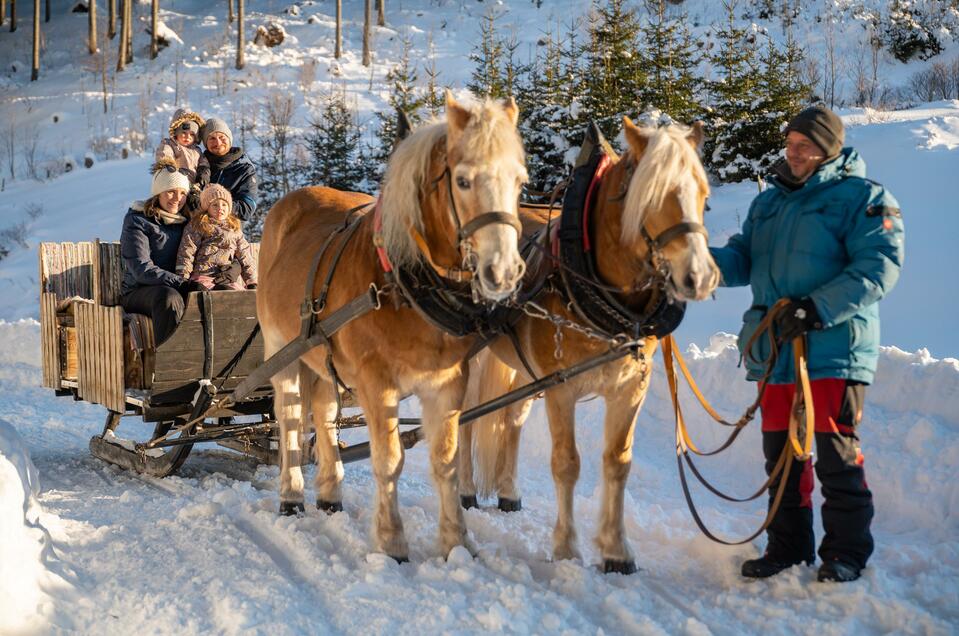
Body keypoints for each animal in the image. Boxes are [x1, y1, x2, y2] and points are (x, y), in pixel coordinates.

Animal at [258, 94, 528, 560]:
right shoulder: (376, 382)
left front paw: (456, 543)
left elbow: (445, 461)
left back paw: (329, 495)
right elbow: (389, 459)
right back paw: (291, 497)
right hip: (281, 352)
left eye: (519, 182)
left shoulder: (448, 383)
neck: (403, 283)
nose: (504, 272)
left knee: (324, 415)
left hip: (320, 355)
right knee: (290, 418)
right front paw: (391, 542)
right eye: (463, 180)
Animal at [460, 117, 720, 572]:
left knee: (511, 418)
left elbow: (618, 463)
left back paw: (508, 491)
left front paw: (616, 550)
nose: (700, 277)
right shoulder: (561, 388)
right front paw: (566, 547)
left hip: (524, 371)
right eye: (651, 196)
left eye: (703, 196)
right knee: (467, 420)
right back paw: (467, 489)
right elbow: (567, 463)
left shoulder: (630, 388)